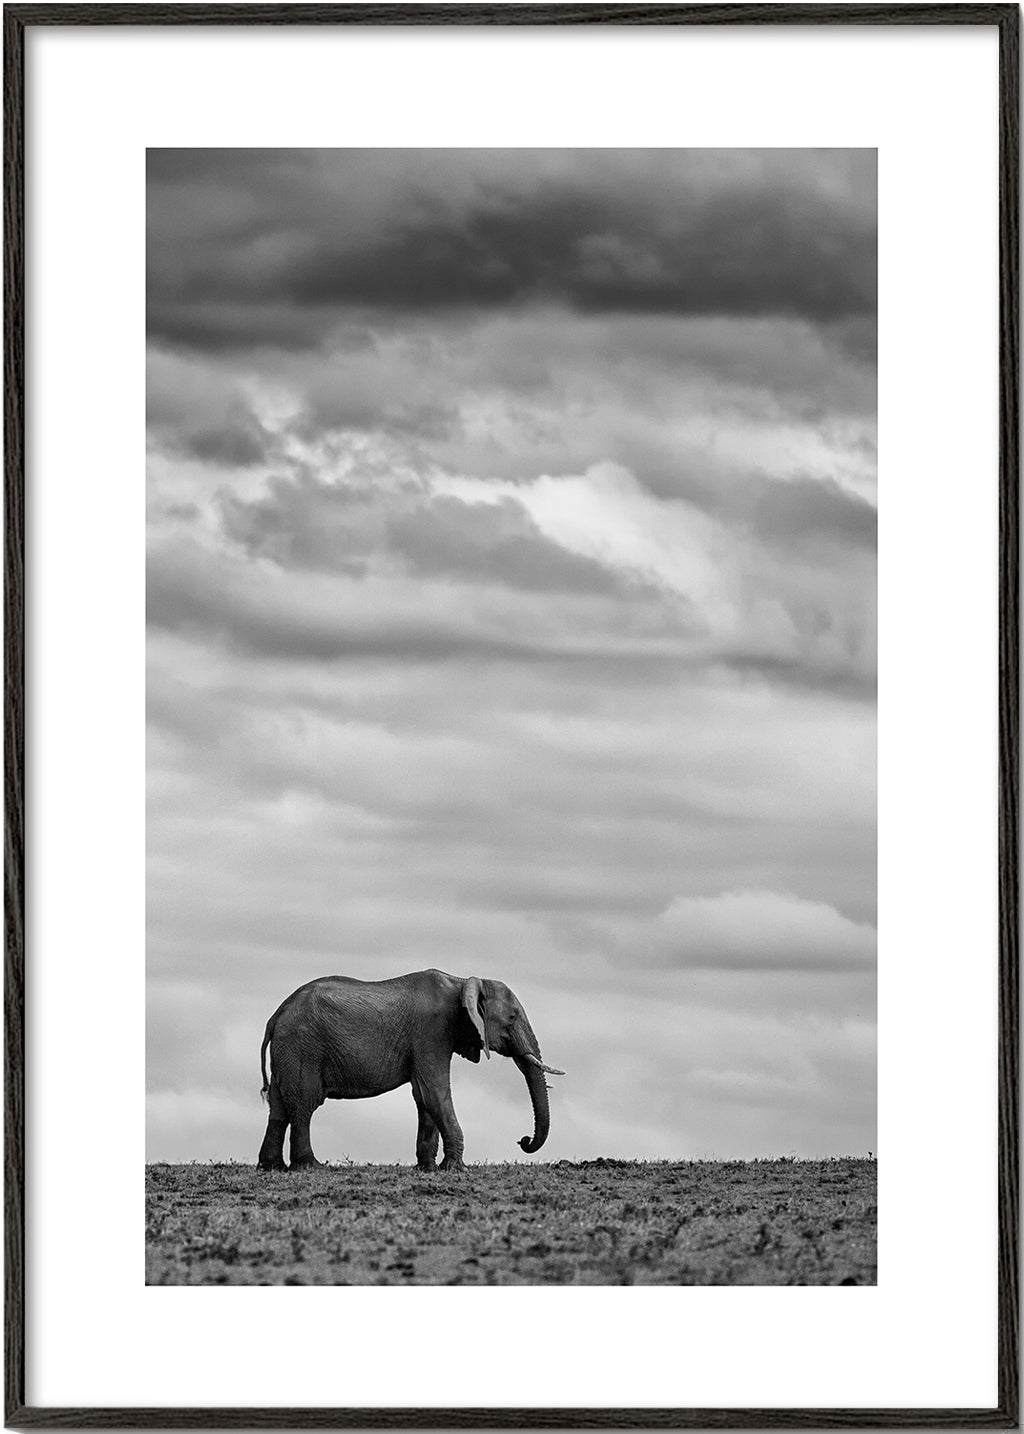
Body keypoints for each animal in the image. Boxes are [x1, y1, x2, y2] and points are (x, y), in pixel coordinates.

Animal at [257, 969, 564, 1172]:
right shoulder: (432, 1033)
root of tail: (275, 1016)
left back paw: (271, 1167)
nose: (523, 1140)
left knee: (279, 1107)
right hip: (303, 1047)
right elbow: (434, 1092)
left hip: (288, 1051)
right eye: (512, 1017)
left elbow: (423, 1096)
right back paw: (311, 1166)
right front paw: (456, 1169)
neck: (461, 982)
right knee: (304, 1103)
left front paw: (427, 1169)